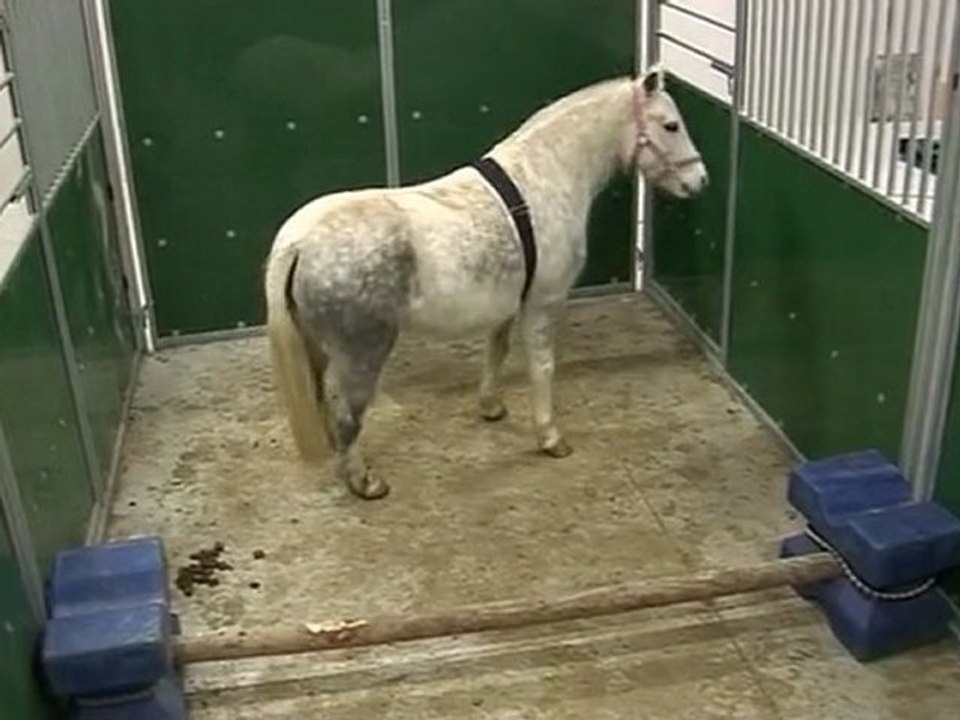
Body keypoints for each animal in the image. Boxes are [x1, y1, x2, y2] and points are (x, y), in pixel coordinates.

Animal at [264, 66, 707, 500]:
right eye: (670, 125)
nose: (700, 181)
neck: (543, 179)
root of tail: (298, 240)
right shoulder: (544, 300)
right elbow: (542, 365)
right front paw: (550, 438)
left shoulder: (508, 302)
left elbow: (497, 351)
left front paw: (491, 407)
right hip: (363, 350)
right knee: (348, 414)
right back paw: (364, 482)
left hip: (316, 344)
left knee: (319, 394)